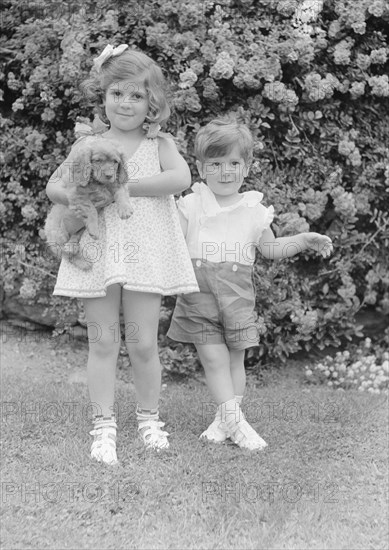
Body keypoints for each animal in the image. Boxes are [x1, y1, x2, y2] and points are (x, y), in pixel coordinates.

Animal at [44, 139, 133, 270]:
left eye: (115, 162)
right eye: (98, 160)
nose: (109, 175)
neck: (98, 183)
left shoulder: (115, 183)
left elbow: (121, 192)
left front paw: (125, 209)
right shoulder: (77, 195)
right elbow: (91, 210)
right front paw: (95, 230)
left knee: (73, 242)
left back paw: (72, 247)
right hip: (59, 234)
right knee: (66, 254)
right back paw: (83, 262)